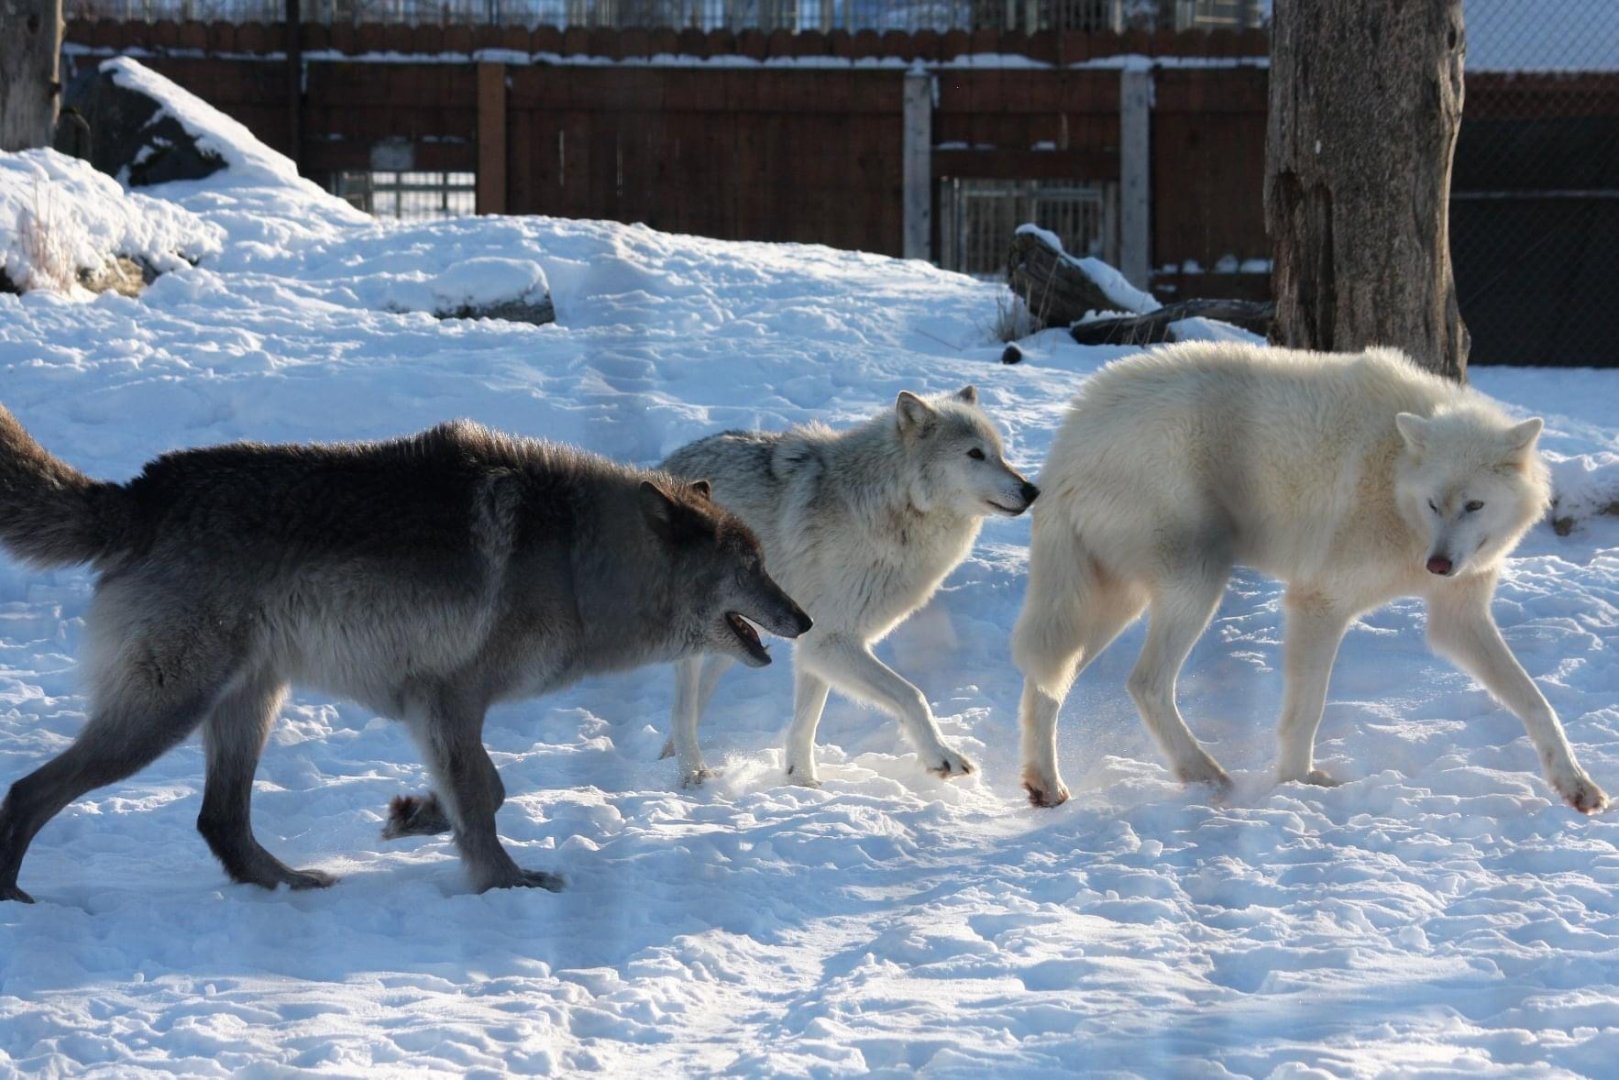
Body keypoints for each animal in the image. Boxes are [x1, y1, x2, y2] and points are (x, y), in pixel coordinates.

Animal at [0, 409, 810, 903]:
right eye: (749, 563)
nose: (803, 619)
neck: (577, 561)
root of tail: (141, 492)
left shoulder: (444, 711)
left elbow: (484, 792)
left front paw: (416, 817)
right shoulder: (447, 700)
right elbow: (485, 797)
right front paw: (505, 883)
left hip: (249, 704)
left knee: (218, 821)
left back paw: (291, 884)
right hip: (167, 712)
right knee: (27, 793)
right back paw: (17, 899)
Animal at [653, 387, 1039, 787]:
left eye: (1000, 453)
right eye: (975, 454)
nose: (1032, 490)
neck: (894, 506)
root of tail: (666, 465)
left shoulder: (816, 643)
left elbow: (806, 721)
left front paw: (802, 782)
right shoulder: (830, 639)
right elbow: (912, 695)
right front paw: (941, 755)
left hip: (743, 633)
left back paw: (670, 754)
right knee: (682, 708)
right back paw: (692, 772)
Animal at [1012, 341, 1608, 814]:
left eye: (1475, 505)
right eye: (1436, 503)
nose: (1438, 566)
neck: (1394, 479)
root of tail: (1069, 442)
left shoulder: (1457, 619)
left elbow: (1536, 702)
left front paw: (1575, 784)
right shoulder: (1318, 604)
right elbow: (1307, 710)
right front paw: (1300, 782)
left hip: (1113, 603)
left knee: (1046, 683)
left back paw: (1046, 784)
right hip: (1197, 582)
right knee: (1143, 683)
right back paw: (1203, 773)